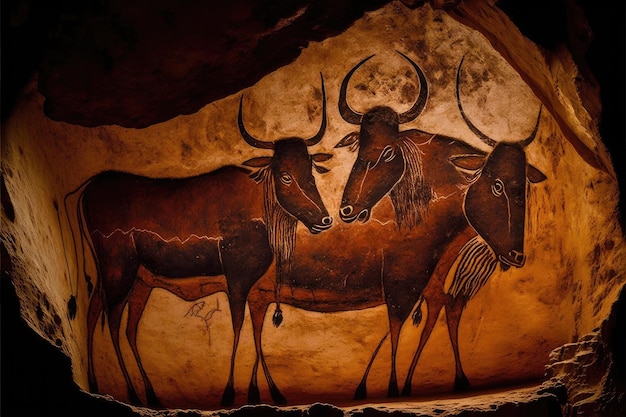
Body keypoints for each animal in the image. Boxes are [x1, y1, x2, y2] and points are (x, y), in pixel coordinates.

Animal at [71, 75, 334, 406]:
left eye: (311, 170)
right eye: (284, 175)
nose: (324, 219)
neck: (265, 214)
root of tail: (87, 190)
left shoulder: (254, 286)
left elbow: (255, 330)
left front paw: (265, 390)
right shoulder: (236, 278)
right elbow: (238, 328)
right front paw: (230, 391)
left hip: (136, 279)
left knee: (111, 318)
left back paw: (134, 389)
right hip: (119, 268)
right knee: (113, 319)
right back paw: (127, 391)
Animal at [334, 53, 544, 398]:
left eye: (521, 187)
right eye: (497, 184)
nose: (348, 209)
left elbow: (431, 313)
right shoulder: (406, 282)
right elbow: (405, 322)